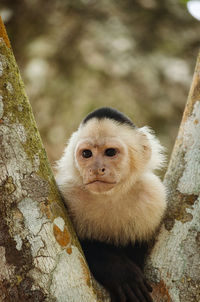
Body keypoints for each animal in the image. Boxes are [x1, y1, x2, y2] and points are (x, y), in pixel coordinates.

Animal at [55, 107, 166, 302]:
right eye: (87, 154)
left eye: (110, 152)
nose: (96, 169)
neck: (109, 196)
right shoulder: (67, 193)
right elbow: (83, 246)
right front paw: (121, 273)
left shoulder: (153, 198)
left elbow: (138, 247)